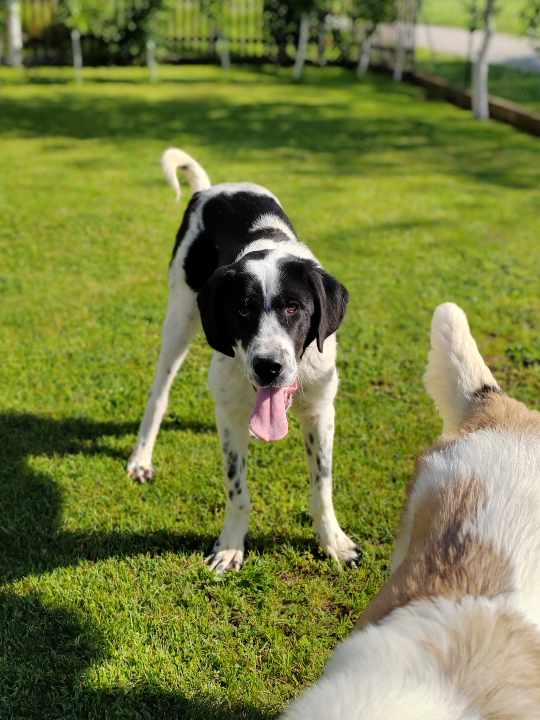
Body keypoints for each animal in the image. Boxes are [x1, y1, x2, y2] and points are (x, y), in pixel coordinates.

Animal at [127, 148, 358, 572]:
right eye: (242, 309)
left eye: (293, 308)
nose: (269, 366)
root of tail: (211, 188)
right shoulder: (231, 412)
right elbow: (237, 490)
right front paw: (231, 545)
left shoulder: (321, 409)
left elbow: (322, 484)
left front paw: (333, 541)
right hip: (180, 317)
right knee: (159, 394)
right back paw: (141, 457)